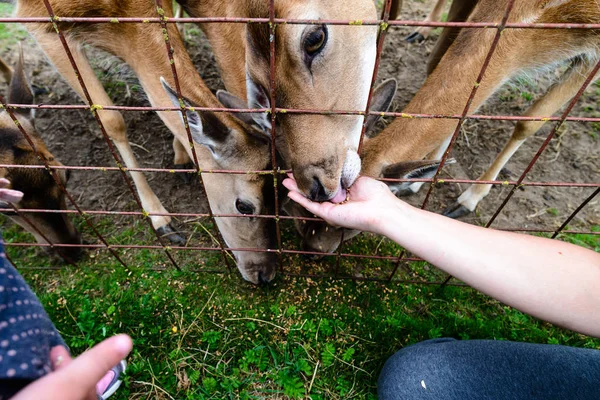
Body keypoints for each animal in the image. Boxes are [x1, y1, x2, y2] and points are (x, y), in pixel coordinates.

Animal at [14, 1, 276, 286]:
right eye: (244, 206)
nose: (265, 275)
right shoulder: (39, 21)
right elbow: (111, 119)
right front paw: (161, 220)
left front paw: (181, 157)